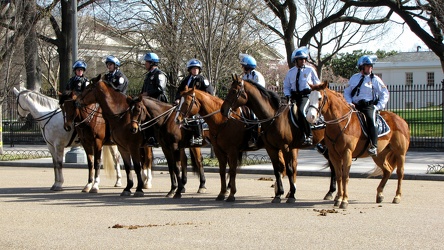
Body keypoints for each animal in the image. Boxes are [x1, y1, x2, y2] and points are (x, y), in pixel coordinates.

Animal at [221, 74, 328, 203]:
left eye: (233, 91)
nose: (223, 110)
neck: (273, 117)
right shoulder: (271, 148)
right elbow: (277, 169)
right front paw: (279, 194)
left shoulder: (285, 147)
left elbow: (288, 169)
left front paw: (292, 195)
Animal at [306, 80, 412, 209]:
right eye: (309, 97)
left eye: (320, 98)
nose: (310, 117)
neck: (339, 123)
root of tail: (401, 120)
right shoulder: (334, 155)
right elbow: (339, 176)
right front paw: (339, 198)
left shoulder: (347, 153)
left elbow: (345, 176)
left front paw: (344, 200)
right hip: (379, 155)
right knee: (387, 170)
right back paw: (380, 194)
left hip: (400, 153)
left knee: (400, 173)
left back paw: (397, 196)